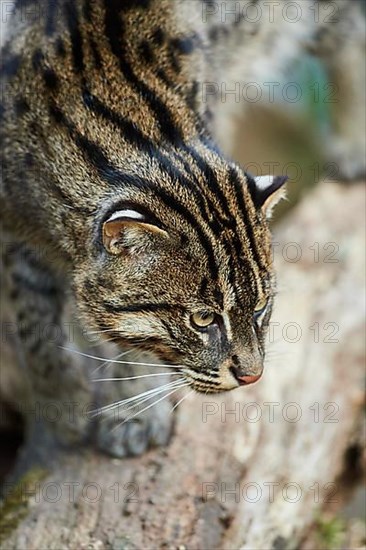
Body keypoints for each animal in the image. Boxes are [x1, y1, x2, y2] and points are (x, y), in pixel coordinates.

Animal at [1, 1, 364, 462]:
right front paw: (61, 406)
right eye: (202, 318)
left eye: (262, 308)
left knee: (349, 32)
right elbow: (33, 321)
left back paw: (354, 144)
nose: (252, 376)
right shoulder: (16, 227)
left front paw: (131, 413)